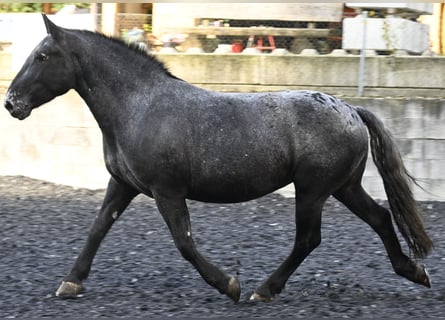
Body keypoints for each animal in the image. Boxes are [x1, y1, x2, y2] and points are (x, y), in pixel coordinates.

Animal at [3, 15, 432, 304]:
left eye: (43, 56)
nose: (11, 103)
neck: (140, 106)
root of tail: (351, 109)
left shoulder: (167, 191)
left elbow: (184, 243)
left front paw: (229, 285)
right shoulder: (123, 184)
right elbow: (97, 229)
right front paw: (70, 282)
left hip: (313, 189)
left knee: (309, 238)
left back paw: (263, 290)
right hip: (343, 186)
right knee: (380, 217)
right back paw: (413, 270)